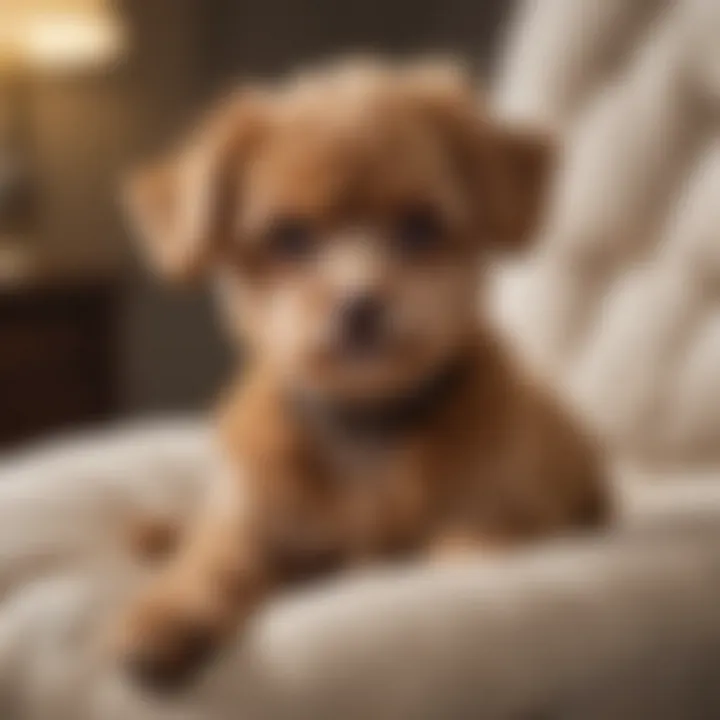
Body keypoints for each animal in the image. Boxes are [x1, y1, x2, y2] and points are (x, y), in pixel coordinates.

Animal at [116, 60, 608, 692]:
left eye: (419, 227)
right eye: (289, 236)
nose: (360, 304)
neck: (365, 424)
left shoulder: (506, 510)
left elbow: (474, 542)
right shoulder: (247, 524)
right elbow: (206, 567)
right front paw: (163, 617)